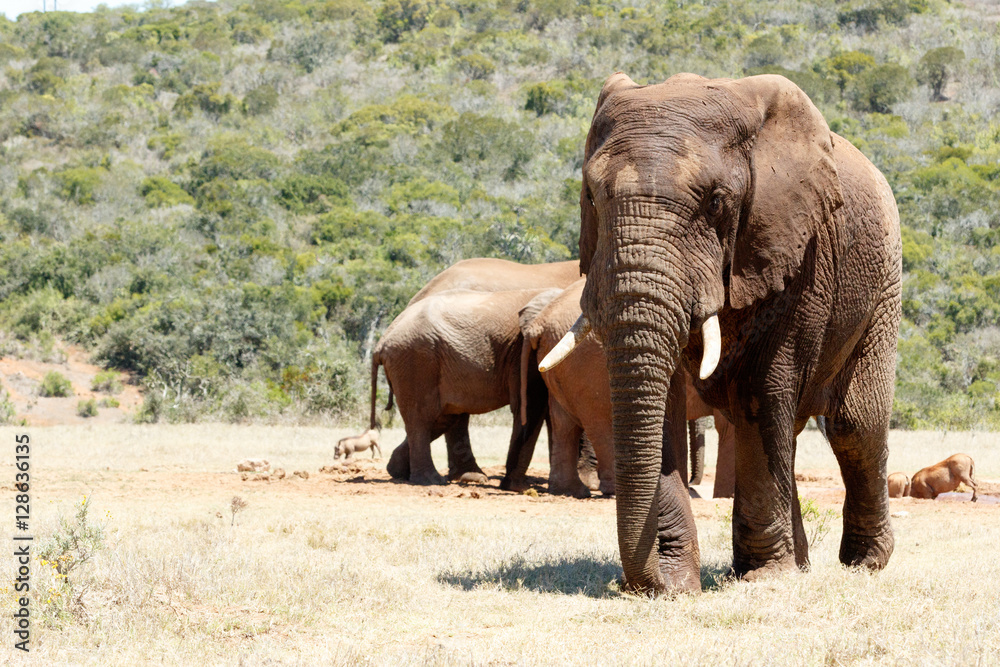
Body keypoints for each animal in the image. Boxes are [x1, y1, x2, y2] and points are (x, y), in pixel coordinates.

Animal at [520, 278, 740, 500]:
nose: (693, 484)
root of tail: (540, 324)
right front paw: (726, 496)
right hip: (589, 367)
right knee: (601, 423)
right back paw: (614, 491)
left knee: (563, 422)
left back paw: (571, 491)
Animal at [548, 73, 908, 596]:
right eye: (592, 197)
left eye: (715, 202)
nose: (648, 586)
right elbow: (668, 400)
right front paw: (680, 582)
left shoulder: (799, 250)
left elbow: (762, 387)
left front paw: (763, 578)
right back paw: (801, 564)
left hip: (884, 278)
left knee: (853, 424)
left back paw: (863, 564)